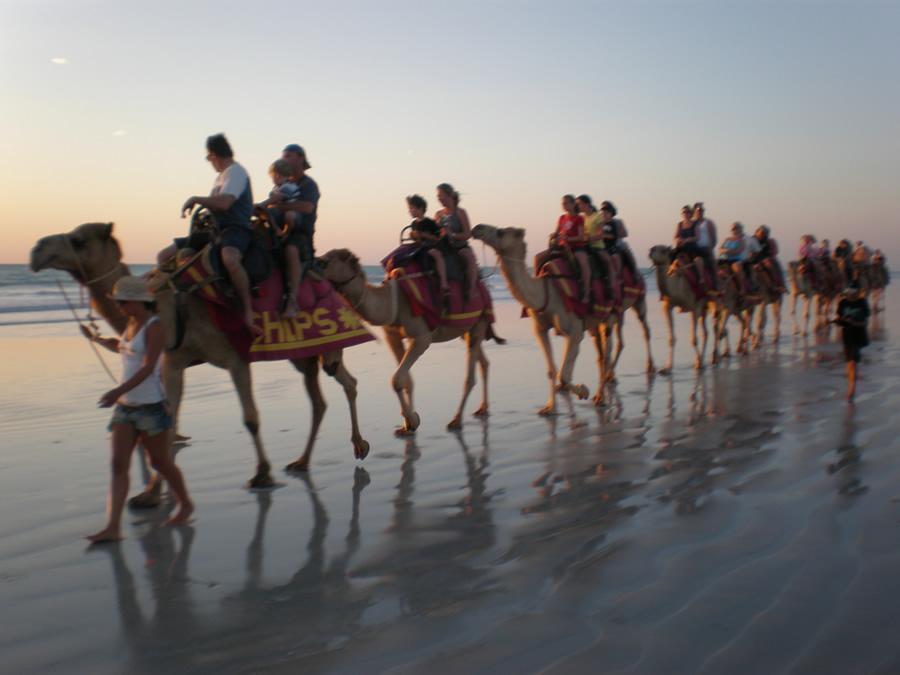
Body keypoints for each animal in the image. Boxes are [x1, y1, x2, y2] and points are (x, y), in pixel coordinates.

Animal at [30, 224, 370, 494]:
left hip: (318, 349)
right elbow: (169, 417)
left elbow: (250, 418)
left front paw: (261, 475)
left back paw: (353, 446)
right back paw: (307, 459)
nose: (36, 250)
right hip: (303, 356)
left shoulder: (235, 357)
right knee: (326, 396)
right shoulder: (173, 360)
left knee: (338, 384)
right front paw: (153, 493)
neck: (167, 302)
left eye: (77, 240)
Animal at [316, 248, 500, 434]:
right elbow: (406, 381)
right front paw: (407, 424)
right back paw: (483, 408)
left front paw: (412, 420)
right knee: (483, 362)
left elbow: (396, 379)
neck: (393, 303)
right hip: (465, 329)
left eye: (325, 262)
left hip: (479, 322)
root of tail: (482, 285)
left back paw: (456, 420)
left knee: (470, 375)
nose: (312, 267)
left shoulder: (421, 338)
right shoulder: (392, 337)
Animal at [472, 226, 652, 412]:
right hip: (597, 322)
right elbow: (552, 370)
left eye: (501, 231)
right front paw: (549, 407)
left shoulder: (574, 330)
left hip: (617, 311)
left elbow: (564, 374)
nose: (477, 228)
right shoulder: (541, 330)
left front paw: (583, 391)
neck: (546, 291)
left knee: (613, 349)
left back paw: (602, 395)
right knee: (602, 354)